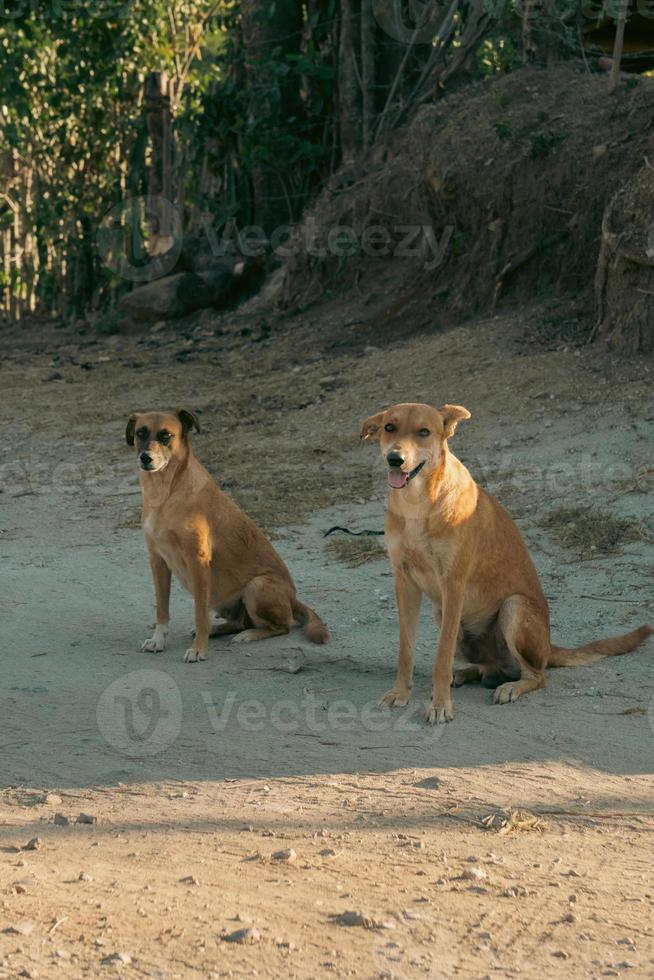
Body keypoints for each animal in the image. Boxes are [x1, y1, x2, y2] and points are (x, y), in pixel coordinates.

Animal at [127, 406, 328, 668]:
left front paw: (199, 650)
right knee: (238, 622)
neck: (164, 492)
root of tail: (293, 599)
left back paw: (247, 635)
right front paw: (158, 640)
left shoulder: (198, 562)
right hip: (223, 600)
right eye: (140, 433)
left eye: (166, 436)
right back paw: (218, 629)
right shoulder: (158, 561)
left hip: (256, 587)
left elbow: (199, 614)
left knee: (282, 626)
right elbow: (162, 609)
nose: (145, 458)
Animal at [362, 402, 652, 724]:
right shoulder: (405, 582)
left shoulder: (453, 585)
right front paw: (400, 693)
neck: (418, 505)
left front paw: (439, 704)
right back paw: (468, 674)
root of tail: (549, 646)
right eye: (389, 428)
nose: (395, 459)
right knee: (488, 668)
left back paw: (510, 687)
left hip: (513, 608)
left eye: (423, 432)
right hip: (444, 614)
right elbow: (406, 650)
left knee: (537, 676)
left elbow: (441, 657)